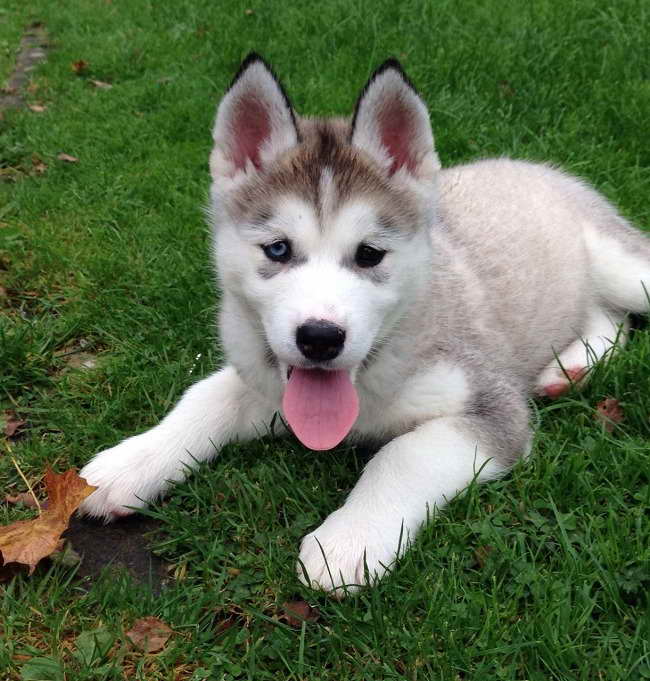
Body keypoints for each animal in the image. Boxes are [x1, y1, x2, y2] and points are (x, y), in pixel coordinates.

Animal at [79, 54, 648, 596]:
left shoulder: (492, 409)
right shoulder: (264, 378)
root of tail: (537, 167)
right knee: (608, 316)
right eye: (278, 250)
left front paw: (350, 540)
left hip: (624, 266)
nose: (320, 338)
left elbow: (403, 454)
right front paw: (132, 461)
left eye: (370, 254)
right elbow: (206, 395)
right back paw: (569, 368)